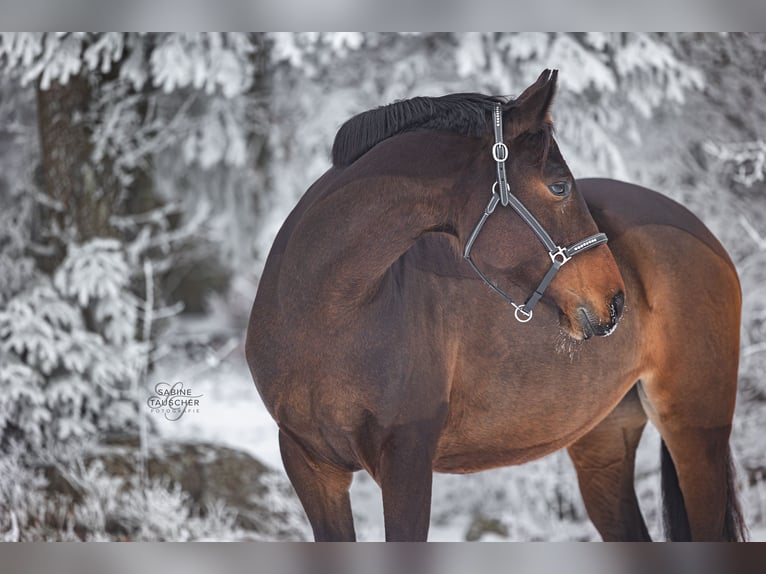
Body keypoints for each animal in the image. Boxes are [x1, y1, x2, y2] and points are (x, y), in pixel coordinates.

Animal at [248, 70, 752, 544]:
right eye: (559, 187)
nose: (615, 299)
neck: (326, 314)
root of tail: (701, 232)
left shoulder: (407, 463)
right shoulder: (310, 466)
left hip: (696, 429)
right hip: (605, 443)